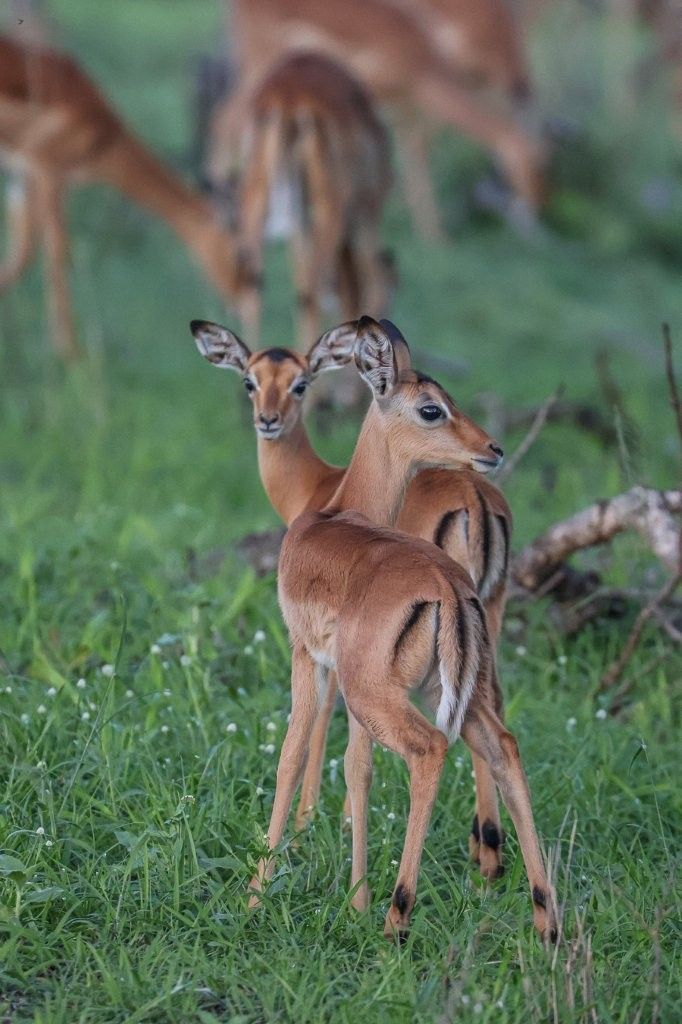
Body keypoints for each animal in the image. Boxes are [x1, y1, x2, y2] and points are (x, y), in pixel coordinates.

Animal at [0, 36, 238, 359]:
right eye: (240, 253)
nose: (240, 298)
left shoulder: (21, 179)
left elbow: (21, 254)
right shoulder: (47, 173)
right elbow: (55, 254)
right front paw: (69, 353)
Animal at [208, 0, 545, 241]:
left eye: (544, 167)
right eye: (528, 168)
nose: (532, 214)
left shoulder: (407, 109)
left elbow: (416, 153)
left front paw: (434, 237)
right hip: (260, 69)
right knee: (226, 119)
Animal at [209, 52, 392, 353]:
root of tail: (288, 97)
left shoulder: (301, 223)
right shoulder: (366, 212)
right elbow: (370, 286)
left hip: (258, 200)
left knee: (256, 289)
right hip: (332, 208)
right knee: (317, 292)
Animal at [242, 316, 556, 941]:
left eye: (300, 384)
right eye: (434, 407)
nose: (492, 448)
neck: (329, 508)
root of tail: (447, 586)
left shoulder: (305, 654)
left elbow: (293, 754)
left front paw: (258, 894)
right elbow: (355, 767)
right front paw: (353, 897)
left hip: (382, 695)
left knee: (430, 750)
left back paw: (398, 915)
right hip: (451, 689)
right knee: (505, 747)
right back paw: (543, 920)